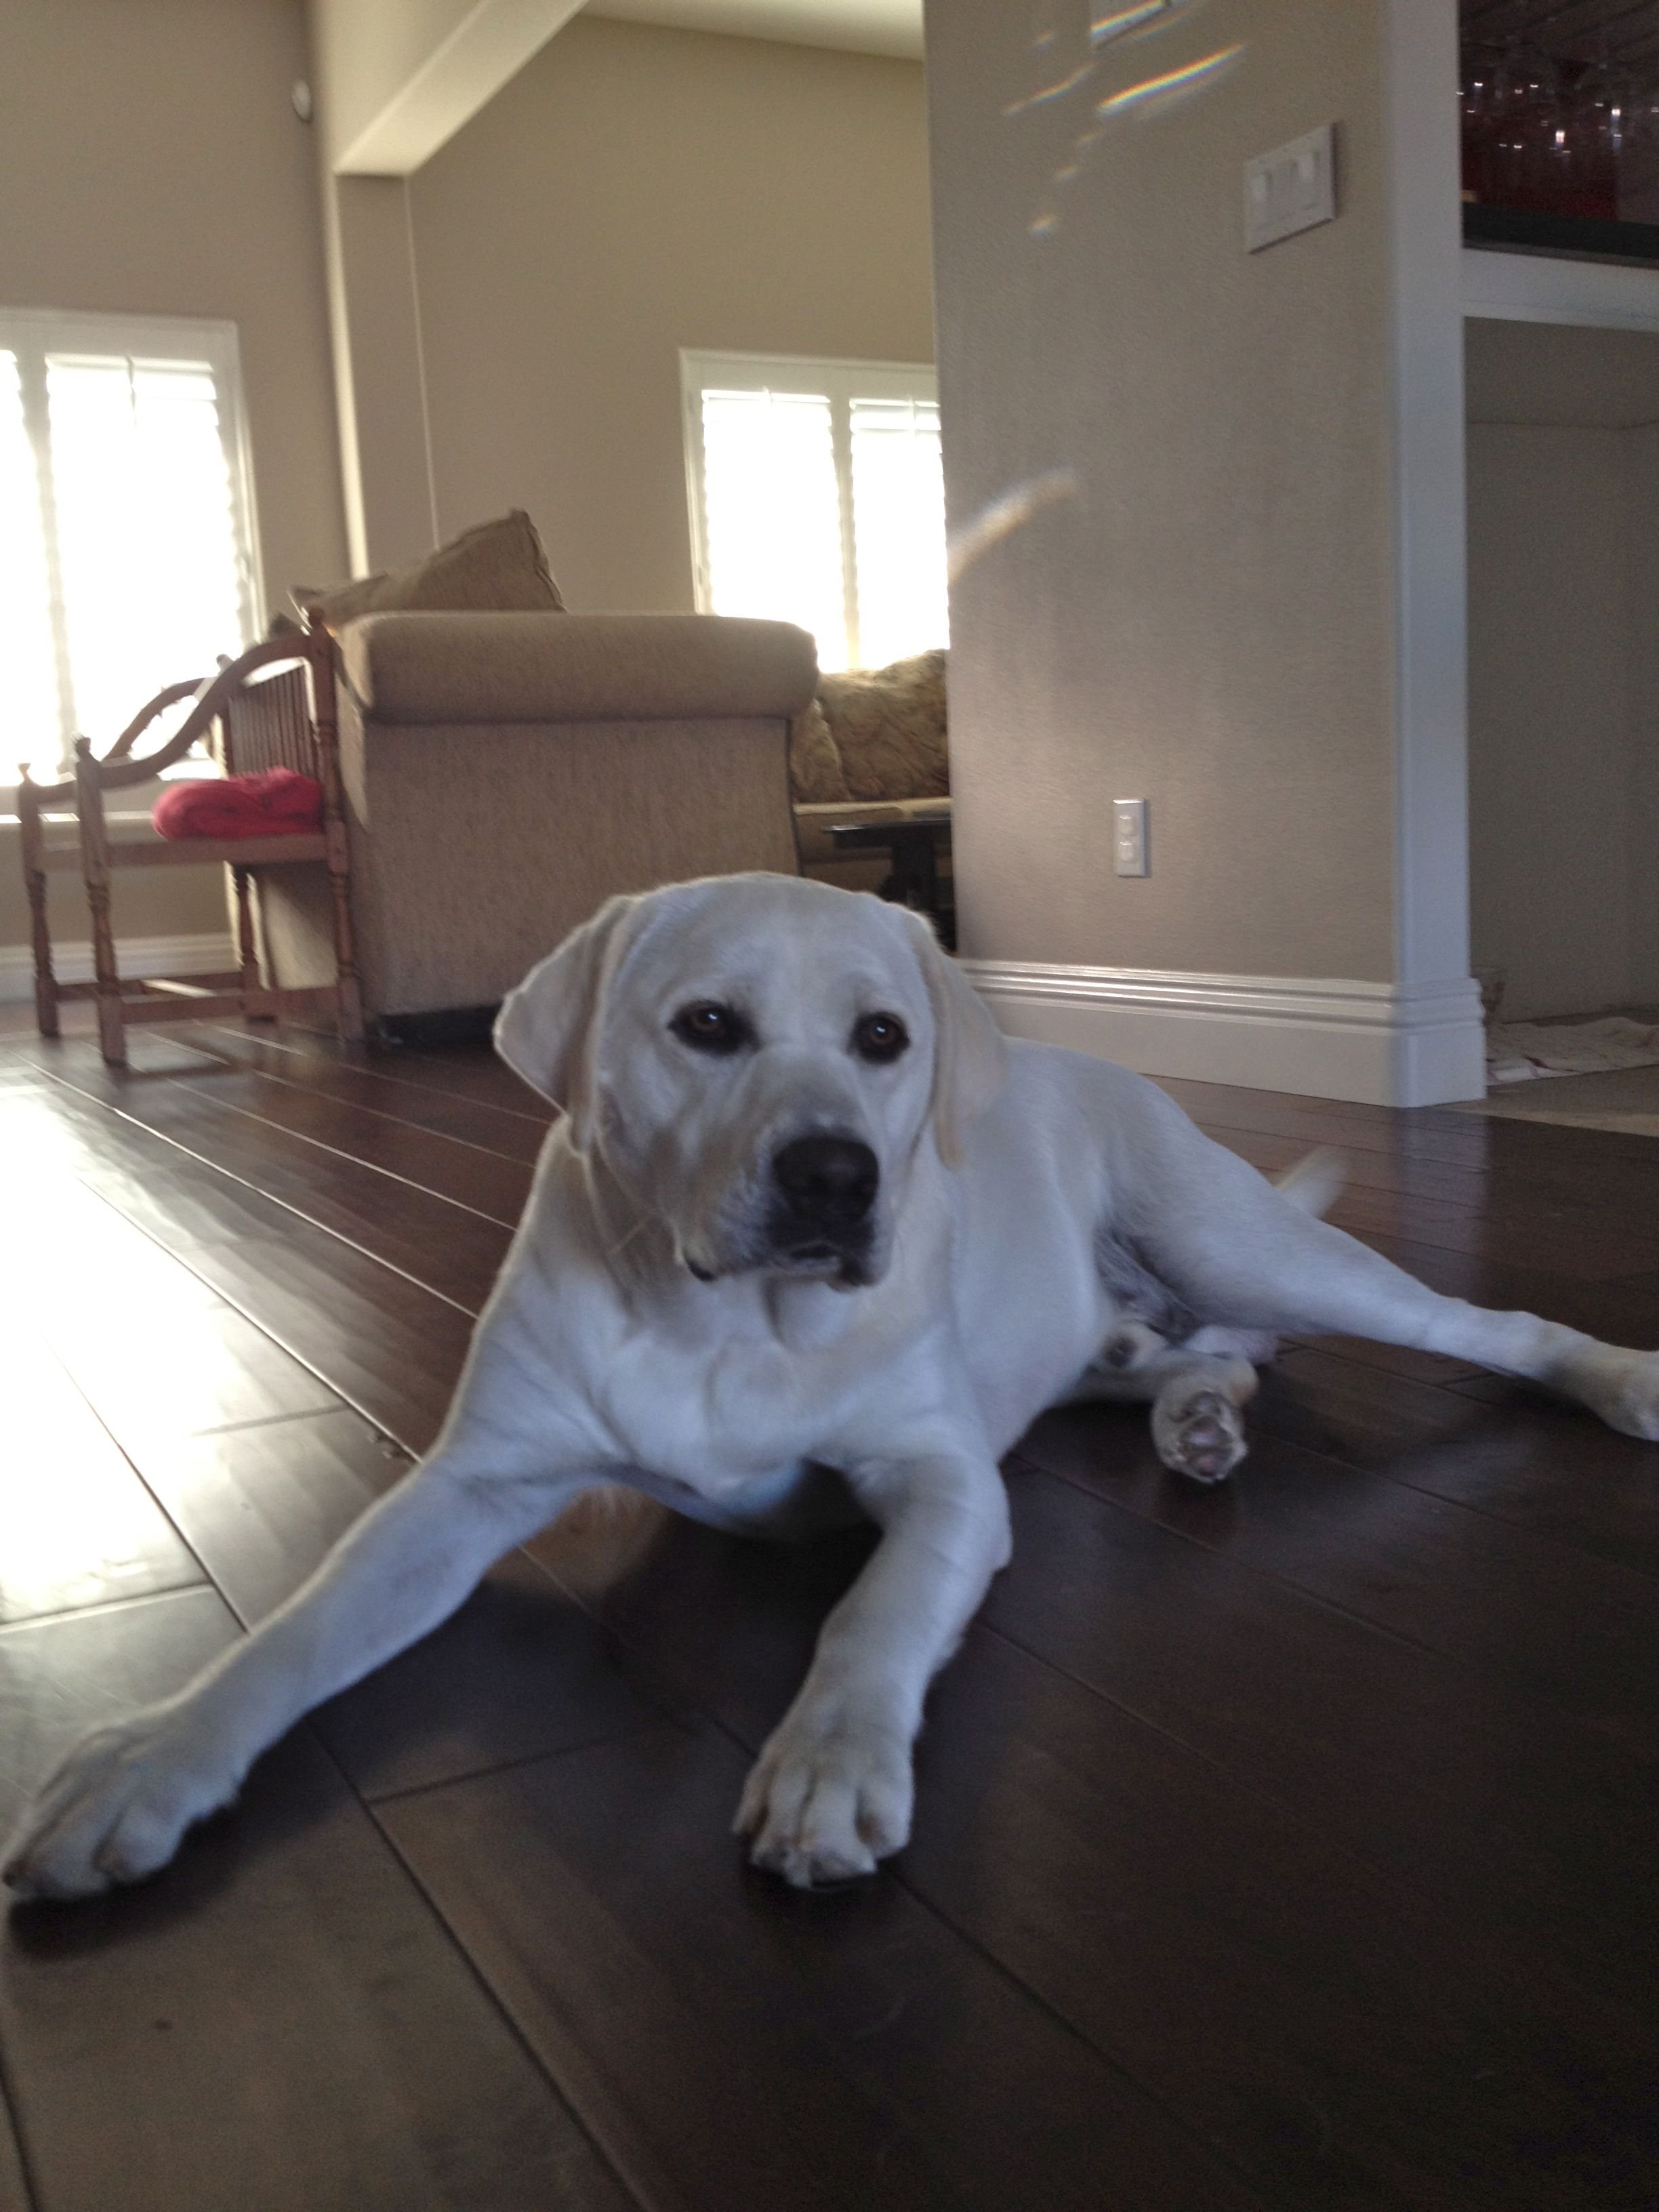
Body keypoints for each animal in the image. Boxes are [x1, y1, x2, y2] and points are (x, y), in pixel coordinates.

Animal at [9, 872, 1659, 1898]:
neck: (728, 1326)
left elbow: (872, 1615)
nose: (833, 1175)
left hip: (1239, 1238)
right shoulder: (470, 1486)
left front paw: (826, 1761)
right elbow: (291, 1630)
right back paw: (1184, 1403)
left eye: (882, 1037)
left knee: (1463, 1323)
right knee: (1182, 1355)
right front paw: (149, 1755)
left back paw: (1611, 1370)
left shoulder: (941, 1481)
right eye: (706, 1027)